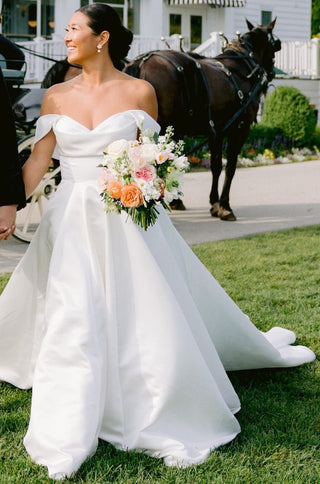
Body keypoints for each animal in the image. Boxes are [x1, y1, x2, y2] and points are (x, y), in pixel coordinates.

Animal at [124, 19, 280, 220]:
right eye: (275, 45)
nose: (272, 73)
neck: (242, 68)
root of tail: (142, 61)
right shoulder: (239, 130)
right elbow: (230, 167)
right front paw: (225, 206)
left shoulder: (217, 132)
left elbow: (216, 166)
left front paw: (214, 203)